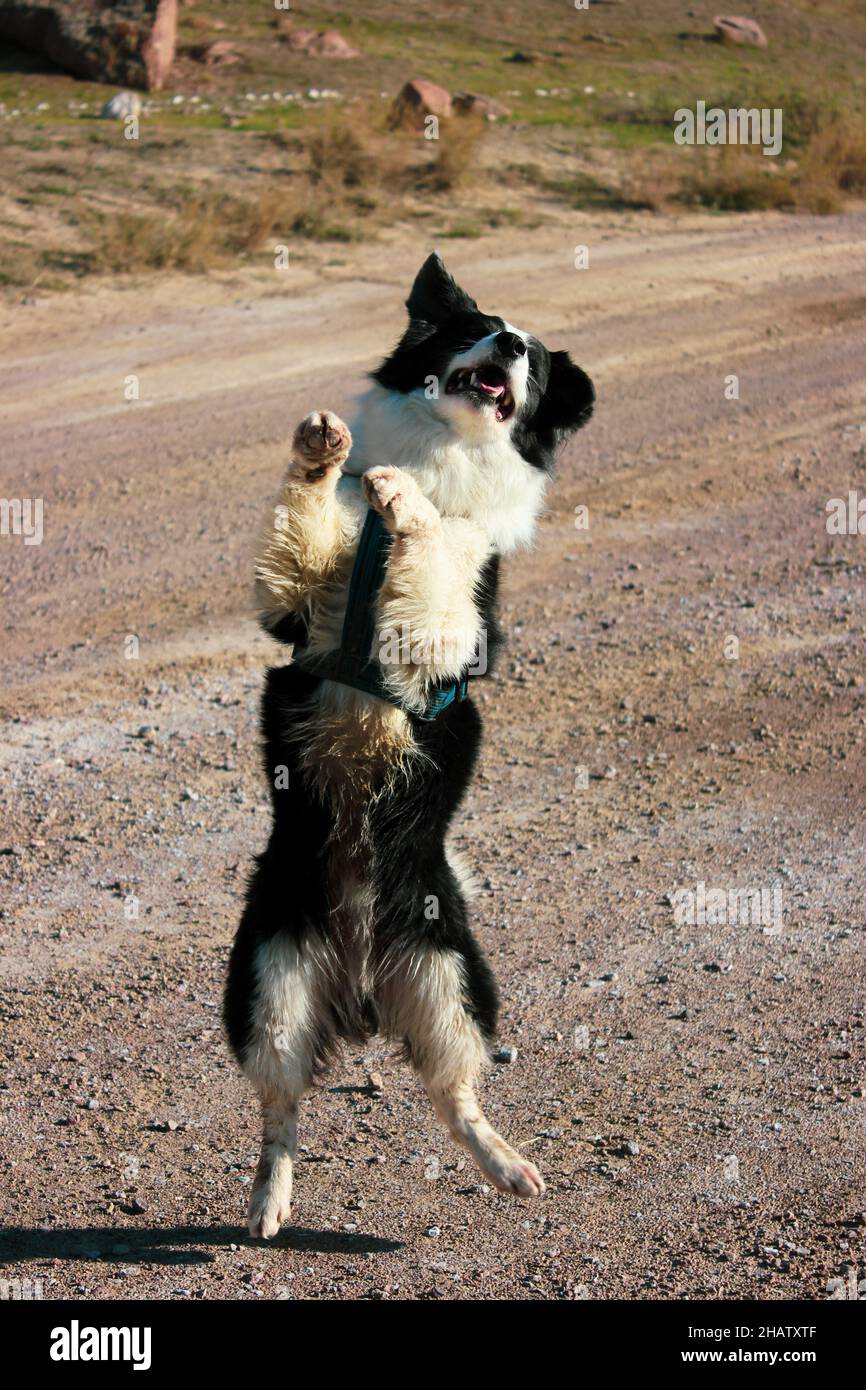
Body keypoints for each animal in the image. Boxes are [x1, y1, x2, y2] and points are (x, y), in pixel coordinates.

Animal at [223, 255, 594, 1234]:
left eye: (535, 359)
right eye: (477, 327)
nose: (508, 344)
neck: (440, 452)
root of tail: (359, 977)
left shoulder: (447, 627)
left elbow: (430, 555)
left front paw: (409, 506)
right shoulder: (298, 605)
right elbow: (304, 524)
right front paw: (324, 450)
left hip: (451, 976)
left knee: (454, 1096)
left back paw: (511, 1169)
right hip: (270, 979)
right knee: (281, 1109)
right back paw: (268, 1202)